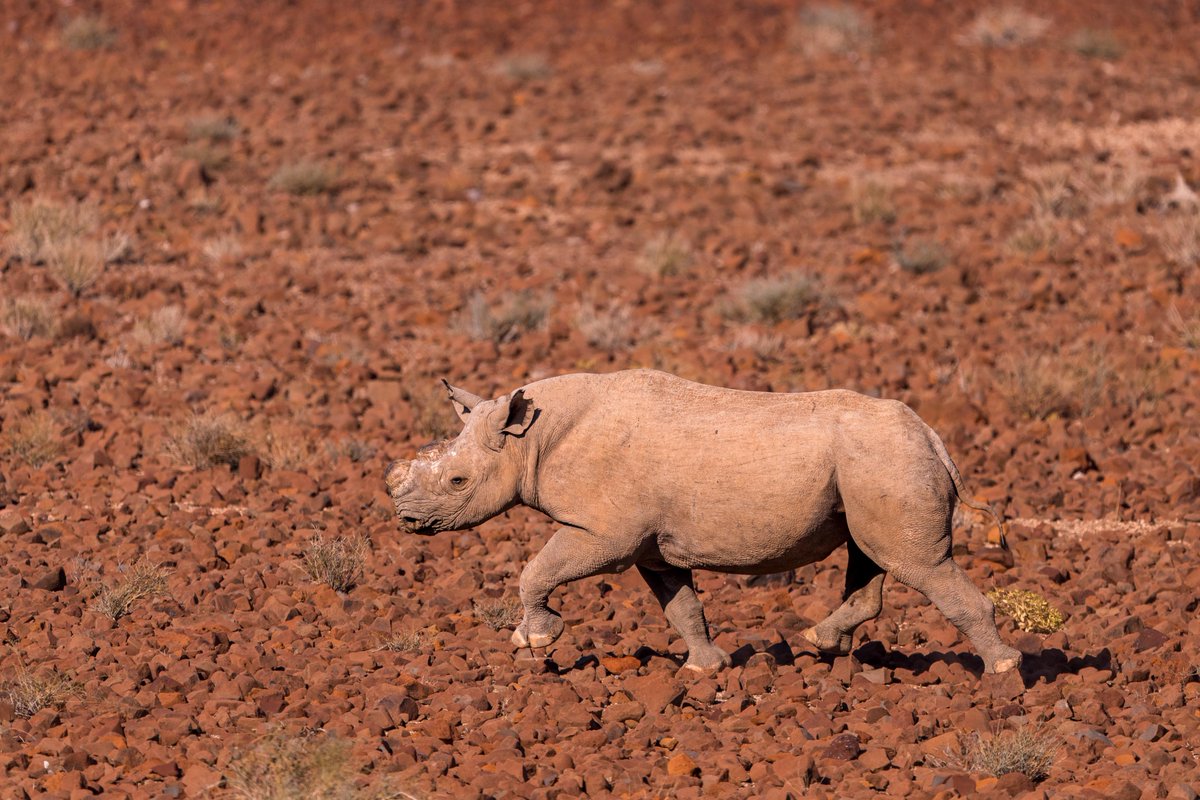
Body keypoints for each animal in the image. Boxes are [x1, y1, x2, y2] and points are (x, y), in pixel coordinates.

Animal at [384, 370, 1021, 674]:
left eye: (458, 482)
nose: (407, 520)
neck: (530, 439)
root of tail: (935, 439)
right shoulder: (650, 546)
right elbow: (680, 605)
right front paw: (704, 668)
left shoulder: (606, 534)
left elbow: (537, 570)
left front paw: (534, 640)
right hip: (875, 465)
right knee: (872, 560)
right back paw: (820, 642)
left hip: (888, 460)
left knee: (919, 566)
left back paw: (1002, 671)